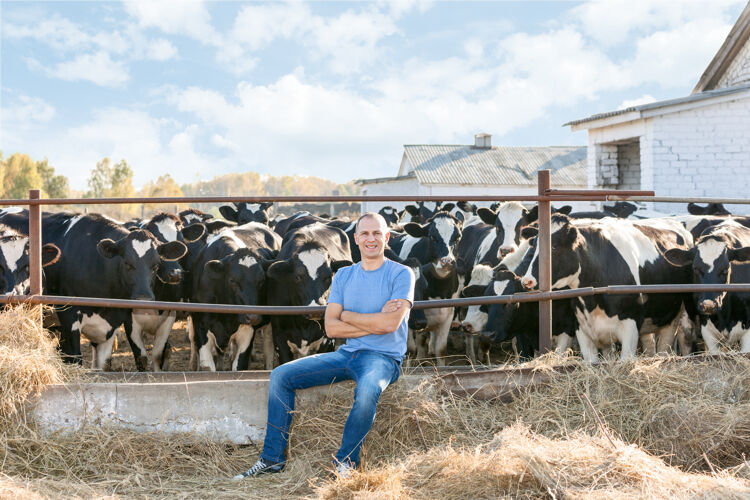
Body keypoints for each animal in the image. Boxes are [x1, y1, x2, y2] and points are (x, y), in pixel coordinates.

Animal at [524, 213, 692, 362]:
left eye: (554, 247)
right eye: (534, 246)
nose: (527, 280)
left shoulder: (630, 326)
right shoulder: (582, 329)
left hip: (673, 318)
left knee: (665, 347)